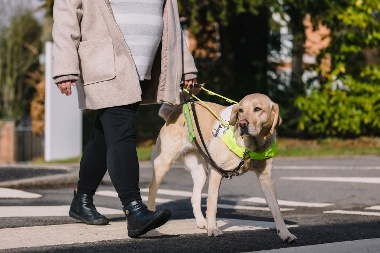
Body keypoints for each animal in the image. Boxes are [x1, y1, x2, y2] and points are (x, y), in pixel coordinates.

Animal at [148, 92, 296, 242]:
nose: (242, 124)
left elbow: (276, 209)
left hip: (201, 172)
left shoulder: (266, 178)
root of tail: (173, 112)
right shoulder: (216, 171)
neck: (250, 147)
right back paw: (152, 224)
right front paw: (213, 229)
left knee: (194, 197)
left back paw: (202, 222)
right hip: (164, 162)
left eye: (258, 109)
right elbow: (212, 204)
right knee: (152, 190)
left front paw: (285, 233)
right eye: (241, 110)